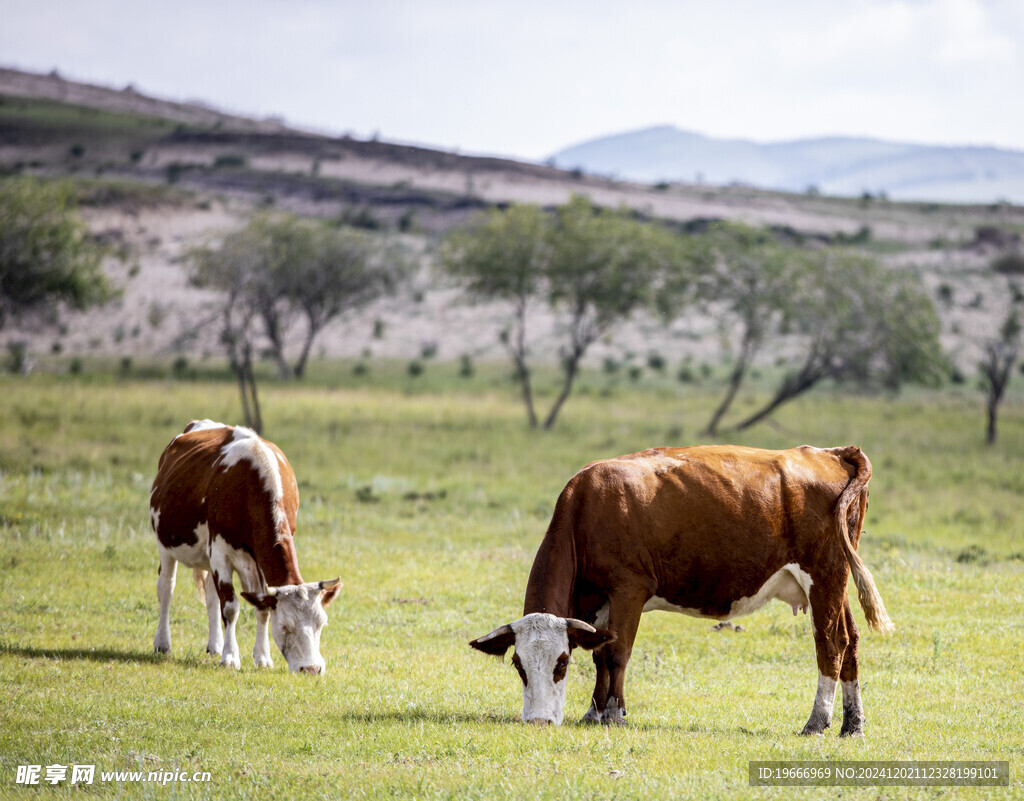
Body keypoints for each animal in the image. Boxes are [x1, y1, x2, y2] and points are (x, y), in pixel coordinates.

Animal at [148, 424, 342, 676]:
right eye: (285, 627)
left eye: (321, 623)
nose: (311, 668)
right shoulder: (220, 553)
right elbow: (230, 607)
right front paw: (230, 657)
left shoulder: (256, 562)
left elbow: (261, 608)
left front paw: (262, 657)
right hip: (166, 546)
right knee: (166, 589)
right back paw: (162, 643)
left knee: (211, 596)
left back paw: (215, 645)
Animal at [468, 444, 888, 733]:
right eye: (518, 664)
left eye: (562, 663)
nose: (537, 721)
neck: (587, 510)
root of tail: (829, 452)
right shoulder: (598, 604)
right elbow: (600, 654)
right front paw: (593, 712)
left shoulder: (629, 589)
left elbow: (617, 652)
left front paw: (614, 713)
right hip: (837, 583)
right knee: (850, 641)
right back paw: (852, 724)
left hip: (824, 576)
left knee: (831, 645)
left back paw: (816, 722)